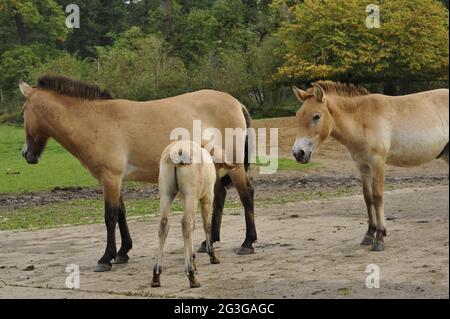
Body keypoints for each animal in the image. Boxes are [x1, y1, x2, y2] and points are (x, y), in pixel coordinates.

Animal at [18, 75, 256, 272]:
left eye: (23, 113)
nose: (26, 154)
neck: (97, 122)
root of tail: (237, 103)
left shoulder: (110, 178)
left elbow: (110, 216)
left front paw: (105, 258)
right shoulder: (113, 180)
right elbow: (121, 213)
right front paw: (123, 252)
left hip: (235, 166)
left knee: (246, 195)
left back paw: (247, 243)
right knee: (218, 196)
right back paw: (209, 242)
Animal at [153, 141, 234, 288]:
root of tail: (178, 151)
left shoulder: (188, 200)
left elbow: (194, 227)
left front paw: (193, 258)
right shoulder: (207, 198)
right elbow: (206, 225)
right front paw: (211, 255)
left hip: (166, 194)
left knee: (164, 225)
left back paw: (156, 275)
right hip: (192, 194)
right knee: (186, 223)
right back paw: (190, 274)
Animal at [290, 82, 448, 252]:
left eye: (316, 116)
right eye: (298, 115)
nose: (298, 153)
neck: (361, 119)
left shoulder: (377, 162)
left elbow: (378, 196)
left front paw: (379, 238)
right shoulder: (363, 165)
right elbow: (368, 197)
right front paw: (369, 234)